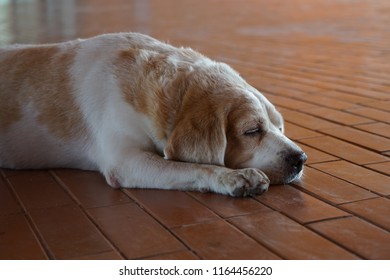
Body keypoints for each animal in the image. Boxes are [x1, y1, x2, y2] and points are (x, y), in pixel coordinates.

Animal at [0, 32, 306, 197]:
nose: (301, 158)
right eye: (252, 131)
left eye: (280, 127)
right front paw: (234, 177)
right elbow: (192, 167)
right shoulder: (125, 161)